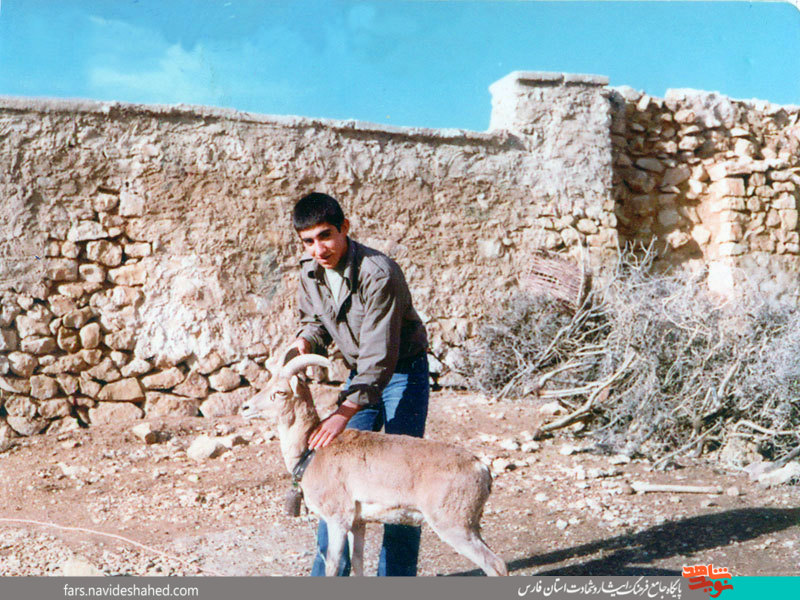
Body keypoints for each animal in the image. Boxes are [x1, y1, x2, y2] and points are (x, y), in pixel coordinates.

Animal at [241, 352, 510, 576]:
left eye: (280, 392)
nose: (245, 407)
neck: (311, 451)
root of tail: (482, 469)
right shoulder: (358, 524)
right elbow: (358, 562)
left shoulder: (338, 519)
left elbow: (333, 566)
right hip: (471, 526)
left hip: (455, 527)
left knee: (496, 565)